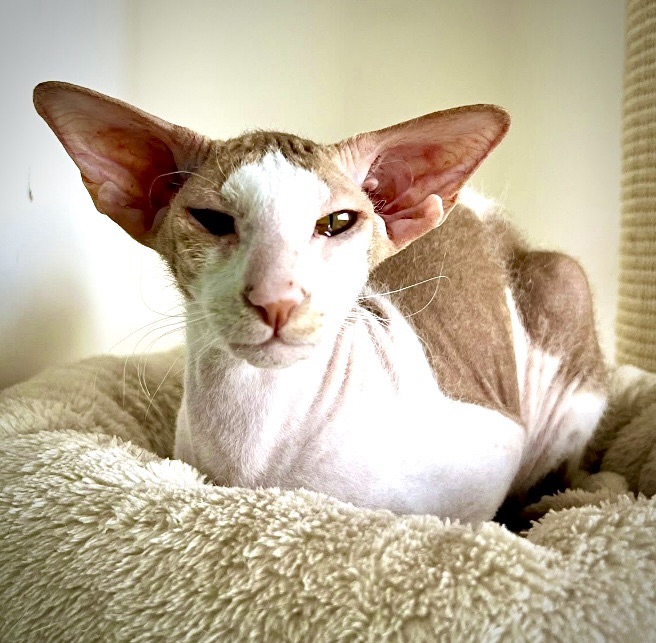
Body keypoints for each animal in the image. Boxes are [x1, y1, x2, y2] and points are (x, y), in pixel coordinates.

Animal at [34, 81, 607, 523]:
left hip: (565, 303)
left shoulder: (496, 447)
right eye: (213, 220)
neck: (259, 457)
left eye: (337, 223)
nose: (276, 298)